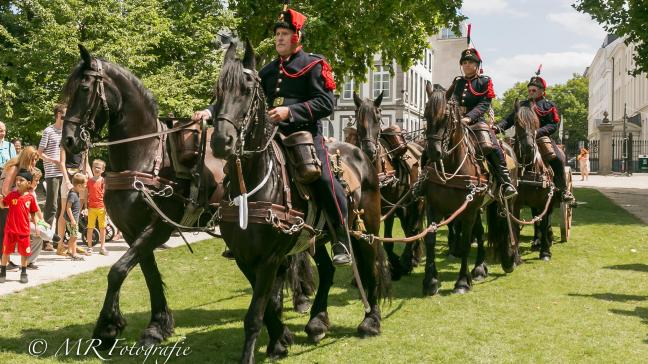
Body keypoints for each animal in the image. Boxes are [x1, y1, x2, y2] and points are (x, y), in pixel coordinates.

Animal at [210, 42, 388, 362]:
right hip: (318, 236)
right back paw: (317, 322)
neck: (251, 183)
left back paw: (371, 320)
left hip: (364, 228)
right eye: (217, 90)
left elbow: (255, 313)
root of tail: (362, 155)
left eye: (246, 89)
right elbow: (268, 304)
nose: (221, 141)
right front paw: (280, 339)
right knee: (328, 270)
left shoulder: (269, 257)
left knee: (369, 268)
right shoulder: (246, 256)